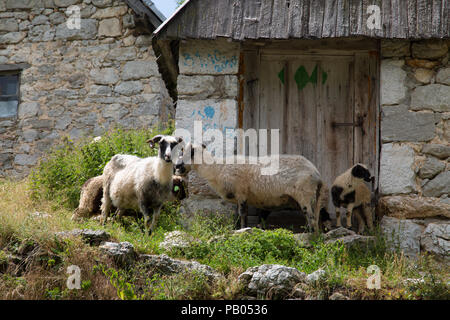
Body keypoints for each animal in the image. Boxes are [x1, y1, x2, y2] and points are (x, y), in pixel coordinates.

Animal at [175, 142, 330, 232]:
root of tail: (317, 174)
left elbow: (242, 214)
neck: (217, 169)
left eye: (190, 152)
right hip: (314, 198)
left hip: (305, 195)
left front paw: (242, 229)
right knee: (320, 217)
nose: (177, 167)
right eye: (181, 150)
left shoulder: (241, 193)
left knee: (311, 219)